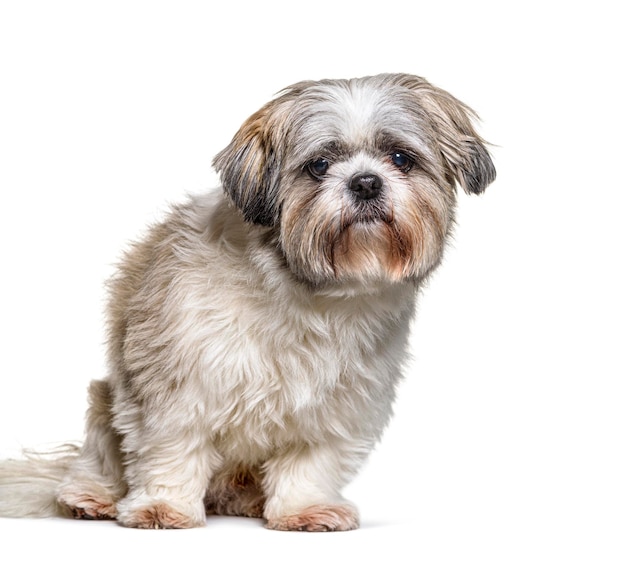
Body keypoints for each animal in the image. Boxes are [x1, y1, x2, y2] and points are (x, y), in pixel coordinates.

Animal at [1, 74, 492, 532]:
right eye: (319, 165)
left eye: (401, 159)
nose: (366, 182)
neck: (309, 296)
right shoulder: (175, 385)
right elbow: (170, 447)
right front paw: (163, 506)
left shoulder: (339, 402)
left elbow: (311, 460)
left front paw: (302, 508)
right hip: (105, 401)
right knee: (98, 459)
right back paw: (91, 496)